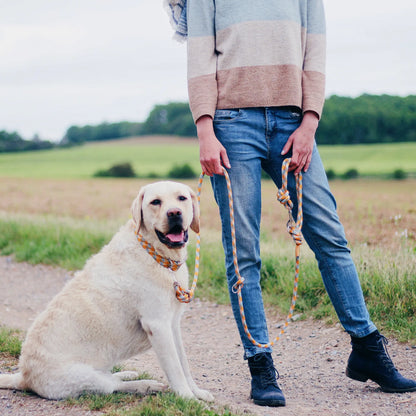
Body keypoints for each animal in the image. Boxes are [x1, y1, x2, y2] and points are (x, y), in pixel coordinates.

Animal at [0, 180, 213, 402]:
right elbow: (175, 369)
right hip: (84, 377)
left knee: (112, 378)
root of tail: (24, 377)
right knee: (114, 386)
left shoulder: (173, 324)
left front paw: (197, 393)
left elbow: (184, 365)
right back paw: (145, 385)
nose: (174, 213)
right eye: (156, 202)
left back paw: (127, 374)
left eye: (182, 198)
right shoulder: (158, 325)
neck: (157, 256)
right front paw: (189, 400)